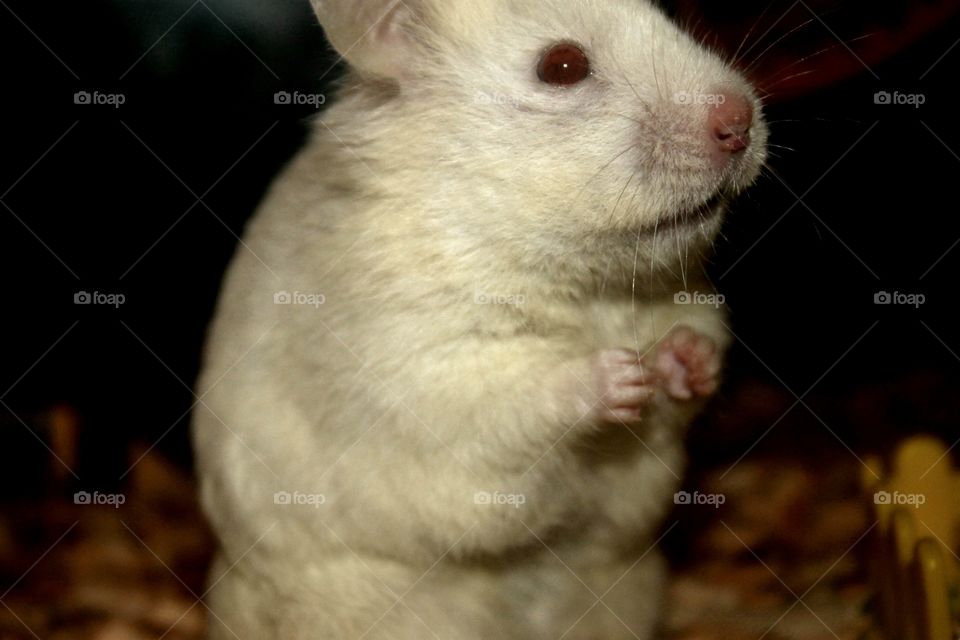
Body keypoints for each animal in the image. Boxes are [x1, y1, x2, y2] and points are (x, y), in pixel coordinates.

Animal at [192, 0, 768, 638]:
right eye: (562, 66)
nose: (740, 120)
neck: (590, 284)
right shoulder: (431, 379)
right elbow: (522, 396)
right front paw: (619, 376)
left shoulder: (687, 304)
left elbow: (695, 355)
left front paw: (684, 359)